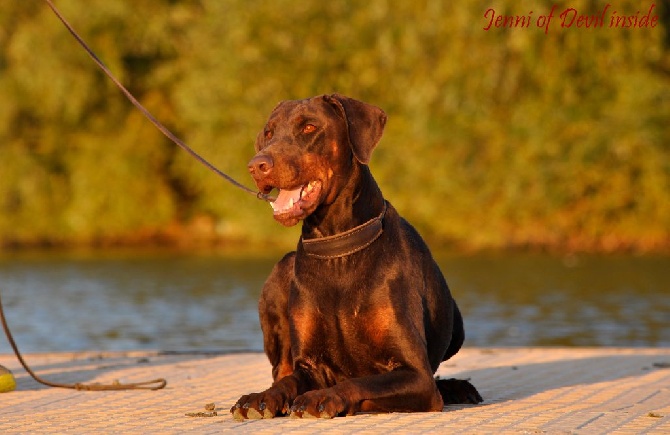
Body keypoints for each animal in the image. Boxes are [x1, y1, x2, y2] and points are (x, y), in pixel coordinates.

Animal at [232, 93, 484, 420]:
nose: (257, 165)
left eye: (309, 127)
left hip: (456, 323)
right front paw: (261, 398)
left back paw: (457, 387)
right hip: (281, 271)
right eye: (269, 132)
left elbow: (362, 383)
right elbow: (289, 381)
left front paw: (322, 397)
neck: (338, 248)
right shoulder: (310, 365)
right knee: (280, 370)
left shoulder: (416, 376)